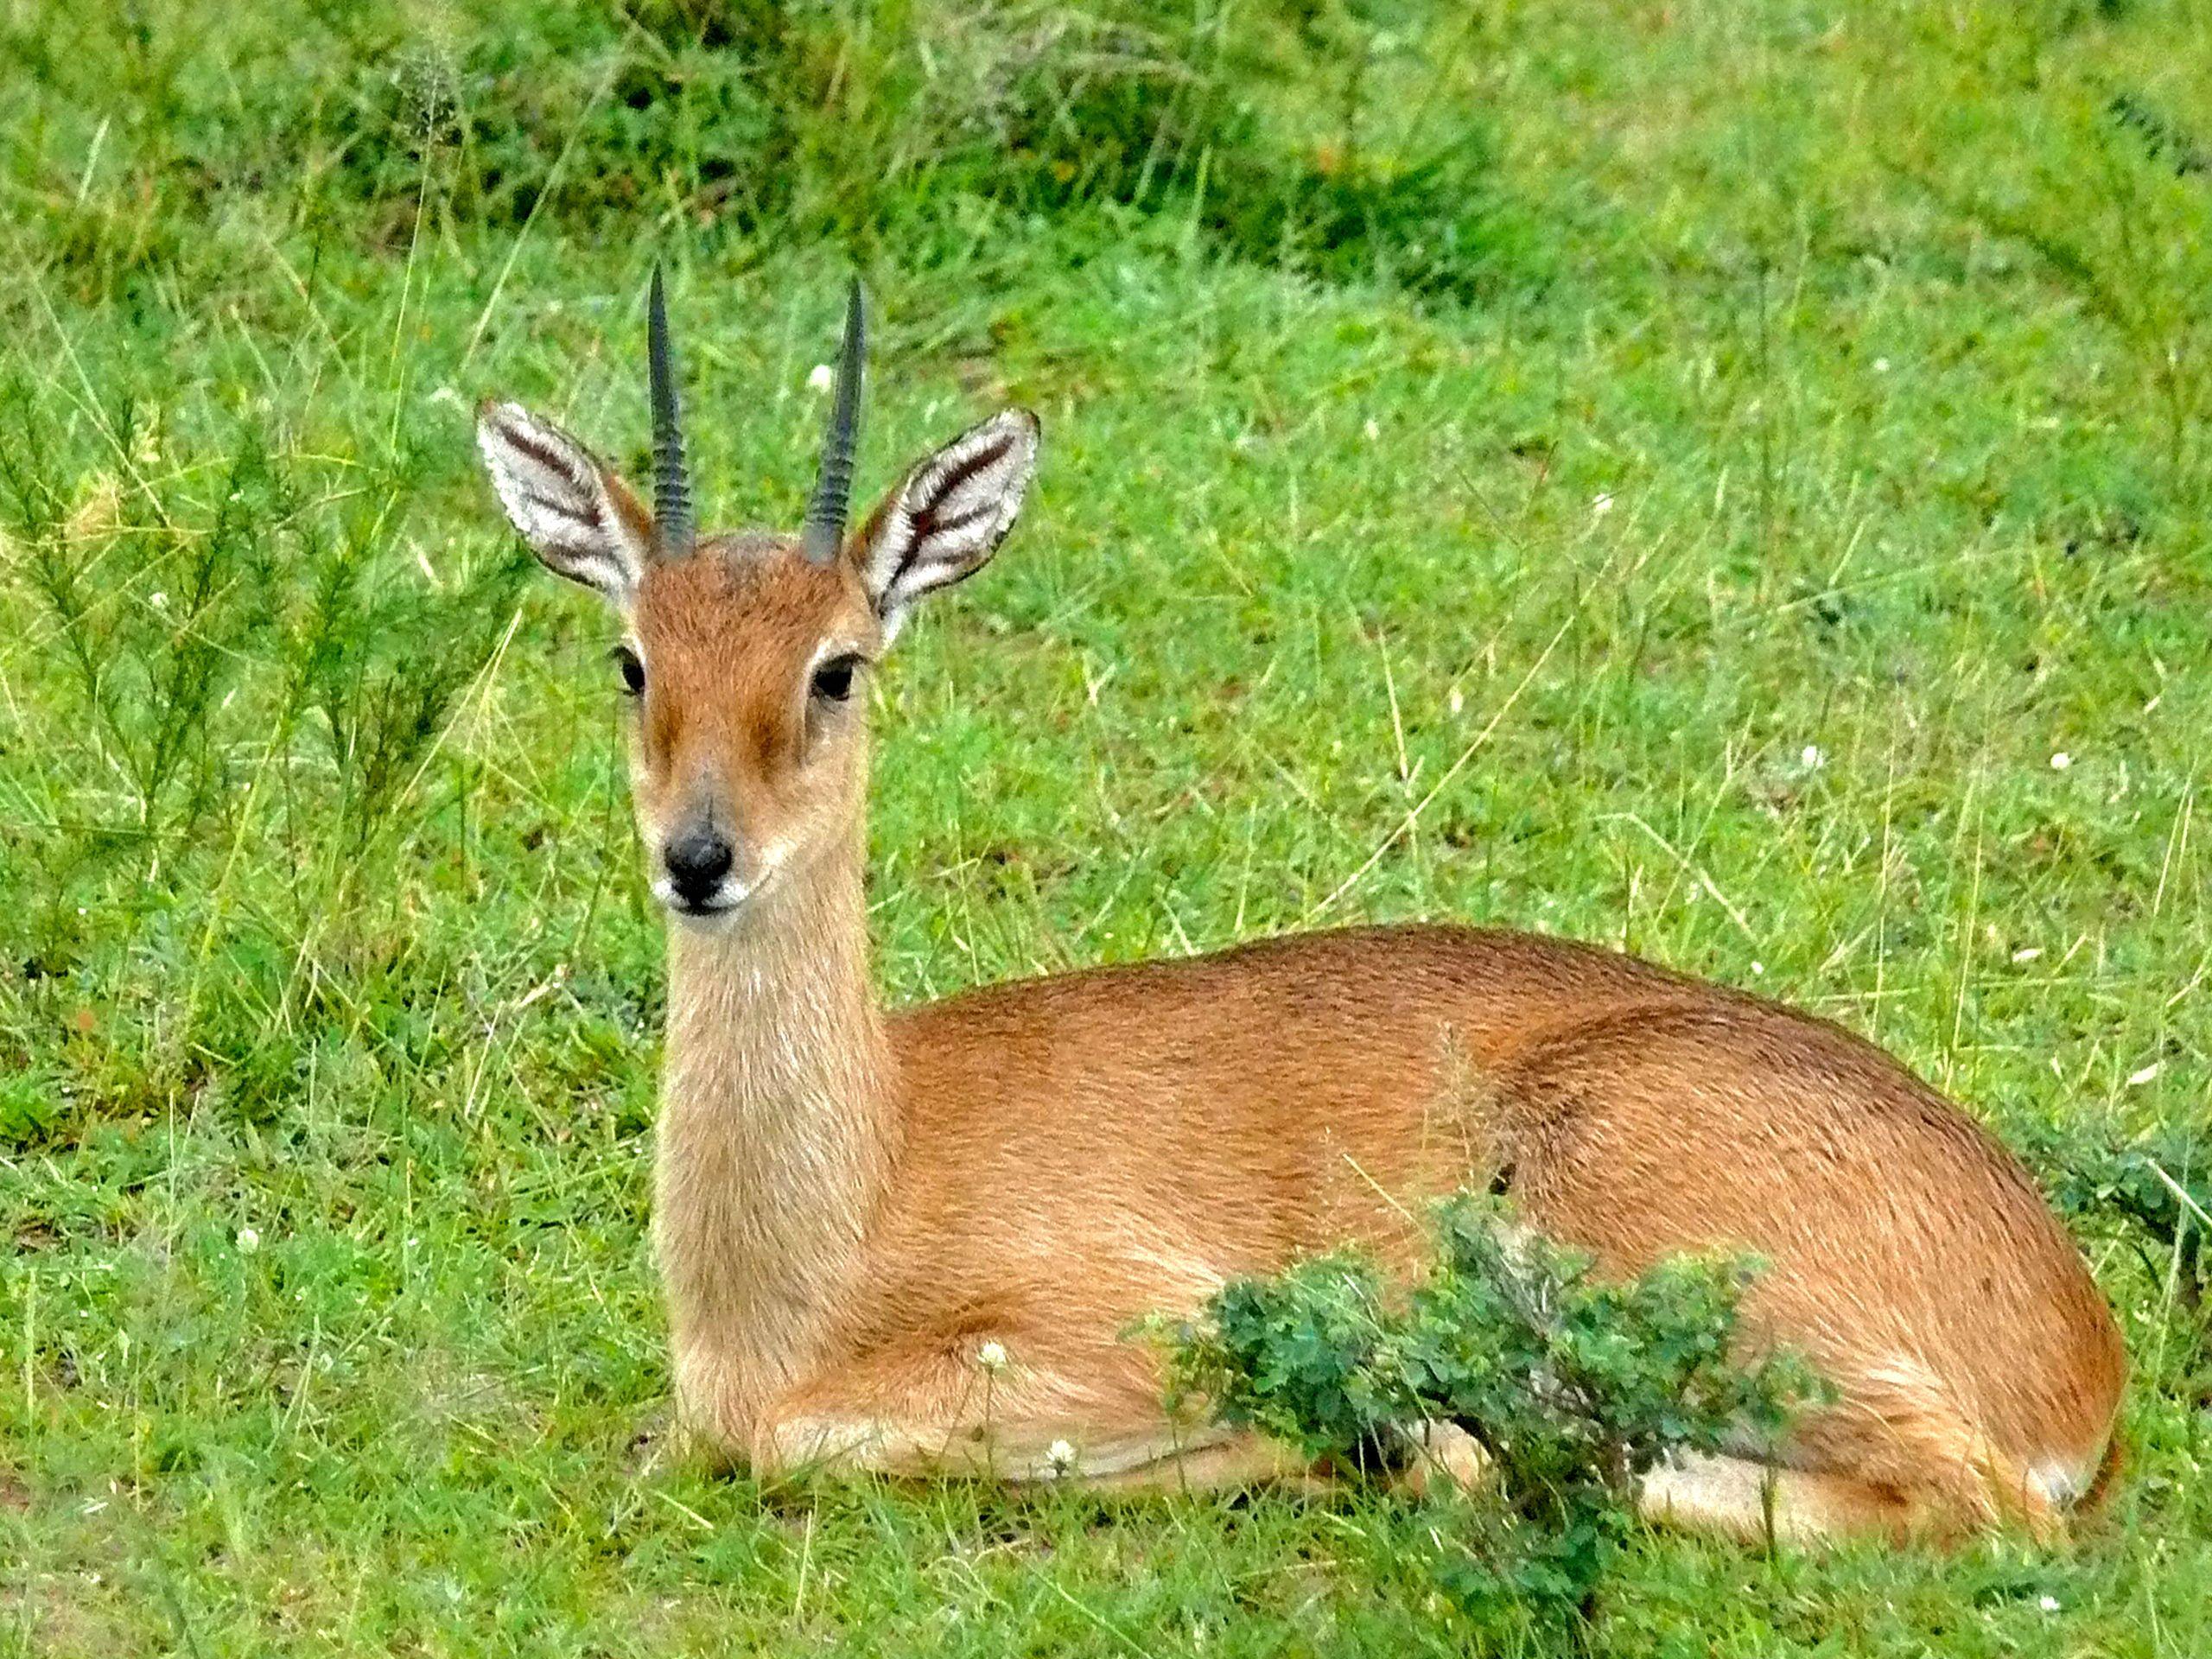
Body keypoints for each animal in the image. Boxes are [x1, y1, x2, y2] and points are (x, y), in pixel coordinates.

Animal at [475, 270, 2124, 1544]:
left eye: (837, 667)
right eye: (633, 658)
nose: (700, 858)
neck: (836, 1220)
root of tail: (2075, 1337)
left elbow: (828, 1438)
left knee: (1969, 1504)